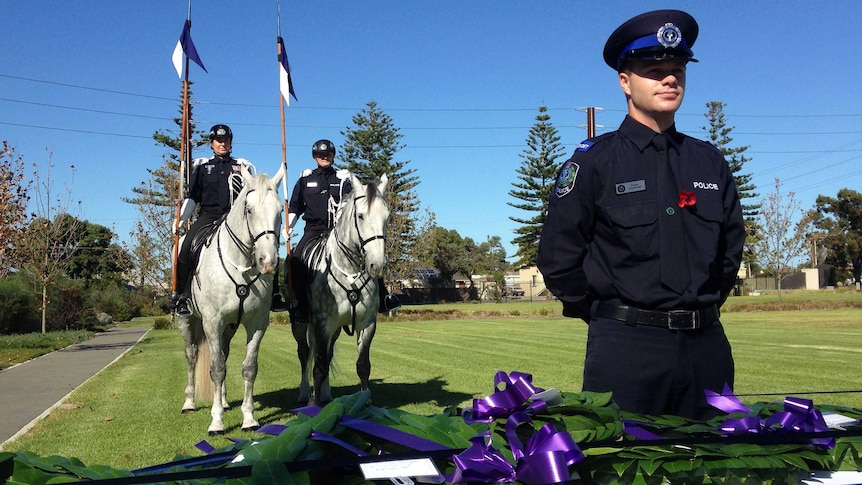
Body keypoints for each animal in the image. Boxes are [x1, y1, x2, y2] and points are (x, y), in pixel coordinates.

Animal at [177, 164, 286, 432]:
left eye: (280, 211)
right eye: (249, 210)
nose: (268, 262)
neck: (240, 265)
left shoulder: (256, 324)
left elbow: (249, 368)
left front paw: (248, 418)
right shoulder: (212, 322)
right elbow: (216, 369)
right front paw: (216, 421)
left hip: (229, 327)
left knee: (224, 354)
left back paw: (225, 401)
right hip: (188, 321)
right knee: (192, 356)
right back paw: (189, 402)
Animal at [296, 174, 394, 404]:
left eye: (387, 217)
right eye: (360, 216)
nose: (377, 265)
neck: (349, 273)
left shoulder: (367, 324)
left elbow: (363, 366)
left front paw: (365, 401)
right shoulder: (323, 324)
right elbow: (319, 367)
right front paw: (314, 405)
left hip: (336, 329)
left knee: (327, 352)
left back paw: (325, 393)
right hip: (300, 323)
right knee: (304, 353)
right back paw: (306, 394)